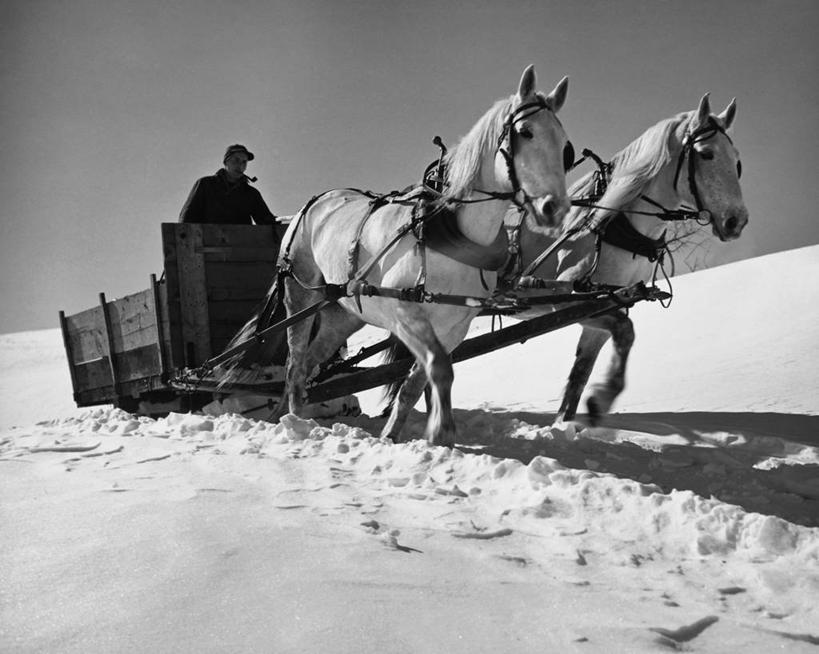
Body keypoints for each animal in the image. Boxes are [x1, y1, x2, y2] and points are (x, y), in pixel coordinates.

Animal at [221, 66, 572, 446]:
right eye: (526, 132)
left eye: (564, 145)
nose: (555, 208)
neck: (452, 235)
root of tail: (314, 203)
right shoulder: (406, 314)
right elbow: (438, 370)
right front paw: (433, 431)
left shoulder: (456, 324)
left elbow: (420, 380)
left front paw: (418, 434)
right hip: (300, 295)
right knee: (296, 362)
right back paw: (295, 421)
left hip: (342, 312)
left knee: (313, 361)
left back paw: (292, 415)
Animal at [512, 93, 748, 426]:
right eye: (706, 154)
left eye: (736, 159)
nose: (736, 221)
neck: (608, 224)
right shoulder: (568, 300)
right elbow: (626, 331)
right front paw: (602, 397)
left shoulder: (604, 305)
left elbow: (581, 375)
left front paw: (573, 419)